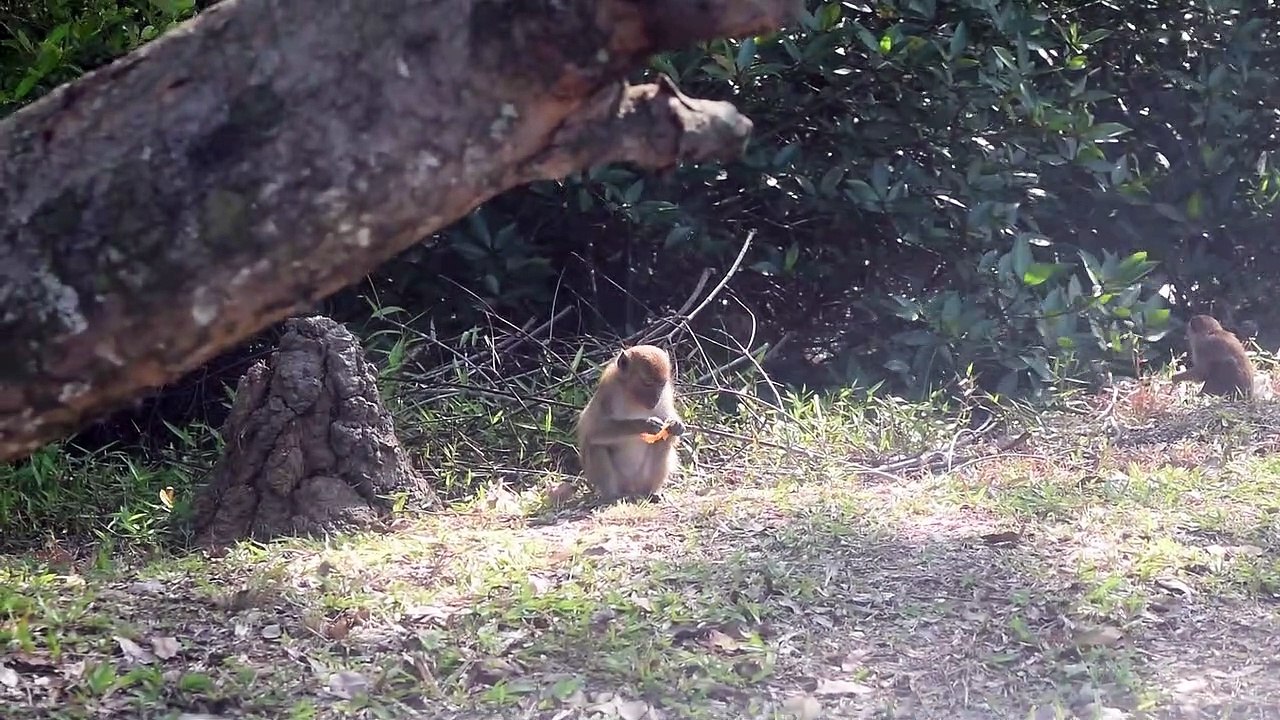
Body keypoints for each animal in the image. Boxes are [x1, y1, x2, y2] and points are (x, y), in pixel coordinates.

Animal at [576, 345, 686, 503]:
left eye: (661, 385)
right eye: (648, 383)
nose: (655, 398)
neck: (631, 396)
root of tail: (633, 486)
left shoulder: (666, 394)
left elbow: (669, 429)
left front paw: (675, 425)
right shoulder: (607, 393)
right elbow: (593, 431)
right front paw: (644, 424)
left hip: (643, 477)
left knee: (663, 443)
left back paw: (653, 491)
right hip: (619, 480)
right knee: (596, 446)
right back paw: (612, 496)